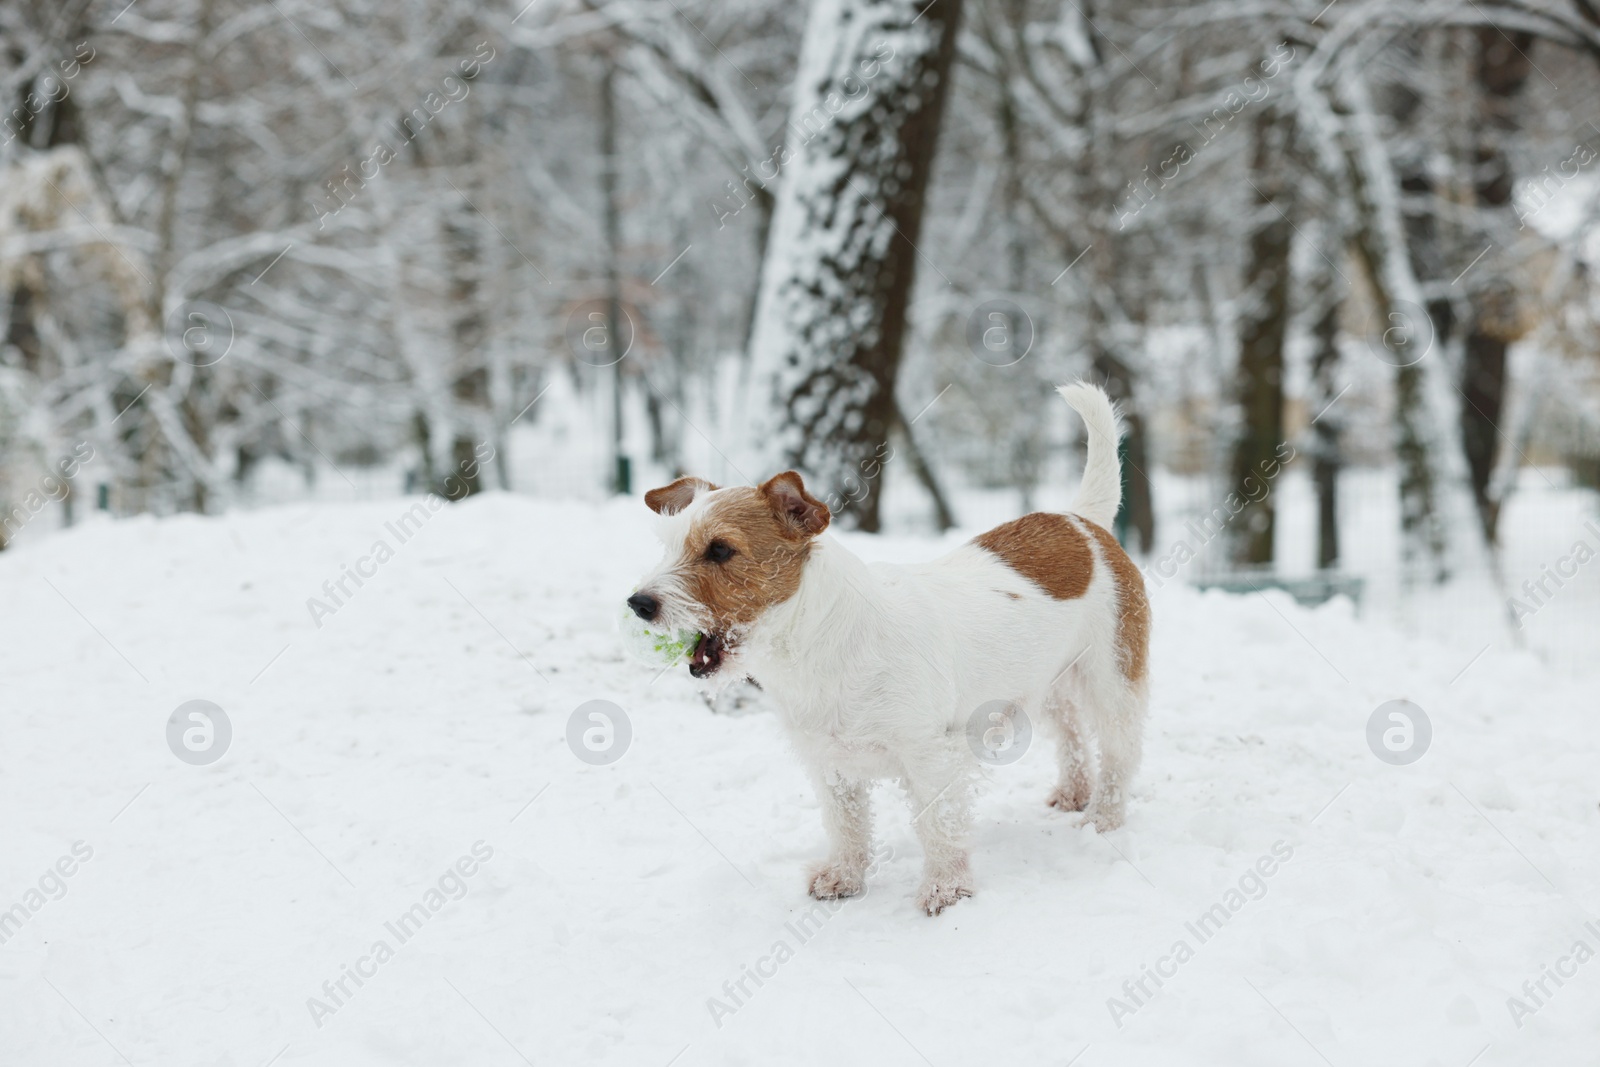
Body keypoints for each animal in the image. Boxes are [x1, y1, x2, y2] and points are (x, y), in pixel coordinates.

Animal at [627, 383, 1152, 921]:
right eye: (668, 546)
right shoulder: (831, 765)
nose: (639, 603)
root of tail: (1082, 520)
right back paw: (1073, 794)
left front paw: (946, 890)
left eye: (720, 550)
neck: (816, 641)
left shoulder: (929, 756)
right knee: (1072, 736)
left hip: (1111, 680)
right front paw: (844, 877)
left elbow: (939, 828)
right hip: (1046, 685)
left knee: (1120, 752)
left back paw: (1105, 817)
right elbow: (847, 826)